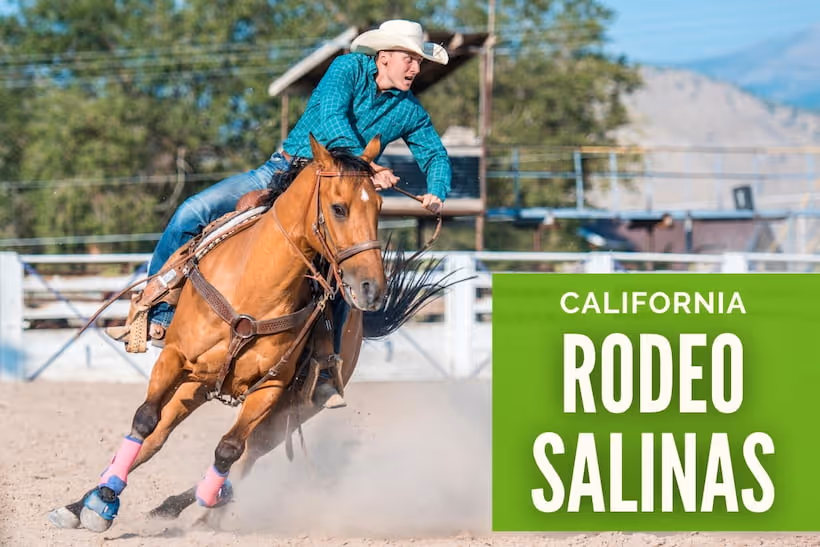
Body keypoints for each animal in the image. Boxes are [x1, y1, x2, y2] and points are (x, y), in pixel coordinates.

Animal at [47, 134, 458, 532]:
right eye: (339, 208)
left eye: (378, 209)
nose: (372, 288)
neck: (255, 287)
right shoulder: (175, 359)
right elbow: (145, 420)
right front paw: (101, 502)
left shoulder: (269, 388)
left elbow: (228, 448)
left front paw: (208, 500)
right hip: (195, 384)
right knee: (157, 437)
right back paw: (84, 505)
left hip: (292, 410)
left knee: (247, 455)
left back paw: (204, 507)